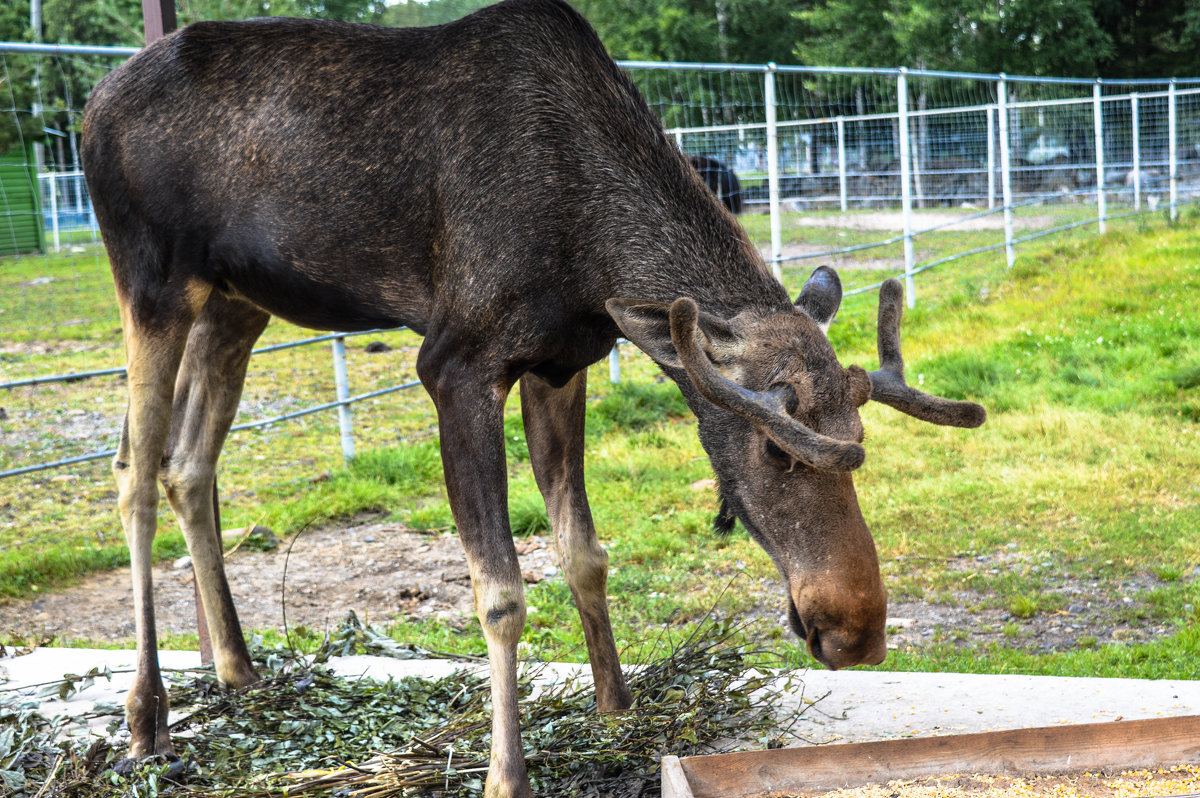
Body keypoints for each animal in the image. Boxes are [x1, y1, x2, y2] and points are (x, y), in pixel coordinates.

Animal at [82, 0, 984, 792]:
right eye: (774, 444)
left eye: (856, 427)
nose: (857, 630)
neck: (590, 252)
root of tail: (92, 106)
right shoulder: (454, 364)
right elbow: (502, 594)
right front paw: (504, 774)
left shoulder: (561, 362)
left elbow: (584, 552)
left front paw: (618, 709)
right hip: (152, 281)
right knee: (133, 472)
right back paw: (145, 718)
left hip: (237, 300)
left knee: (189, 463)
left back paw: (238, 670)